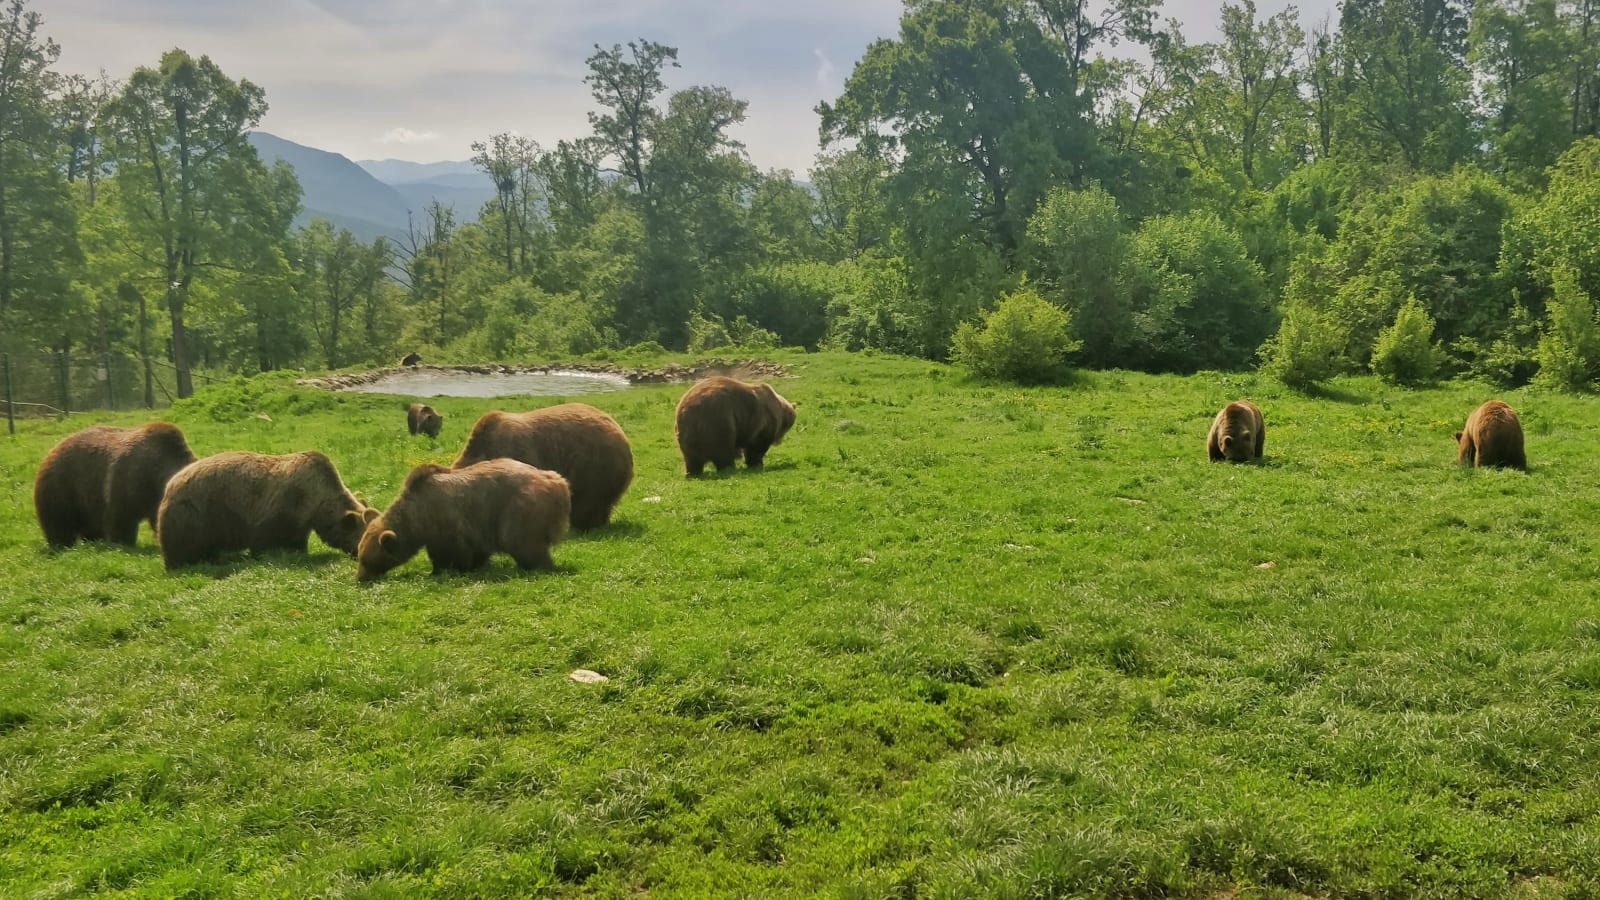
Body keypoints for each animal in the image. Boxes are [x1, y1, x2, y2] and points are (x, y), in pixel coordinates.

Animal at [34, 422, 197, 548]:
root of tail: (55, 447)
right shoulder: (128, 481)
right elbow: (121, 518)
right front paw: (123, 542)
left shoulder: (154, 500)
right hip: (62, 486)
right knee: (59, 522)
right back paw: (61, 544)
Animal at [156, 450, 379, 570]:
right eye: (362, 538)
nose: (359, 556)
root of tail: (171, 484)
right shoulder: (281, 507)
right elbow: (265, 539)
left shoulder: (300, 520)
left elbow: (297, 540)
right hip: (196, 513)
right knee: (184, 546)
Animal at [356, 459, 570, 582]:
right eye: (360, 555)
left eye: (367, 561)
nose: (360, 578)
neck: (416, 517)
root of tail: (559, 482)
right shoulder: (476, 527)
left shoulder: (445, 523)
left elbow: (451, 552)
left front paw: (444, 570)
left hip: (520, 508)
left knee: (521, 542)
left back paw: (535, 566)